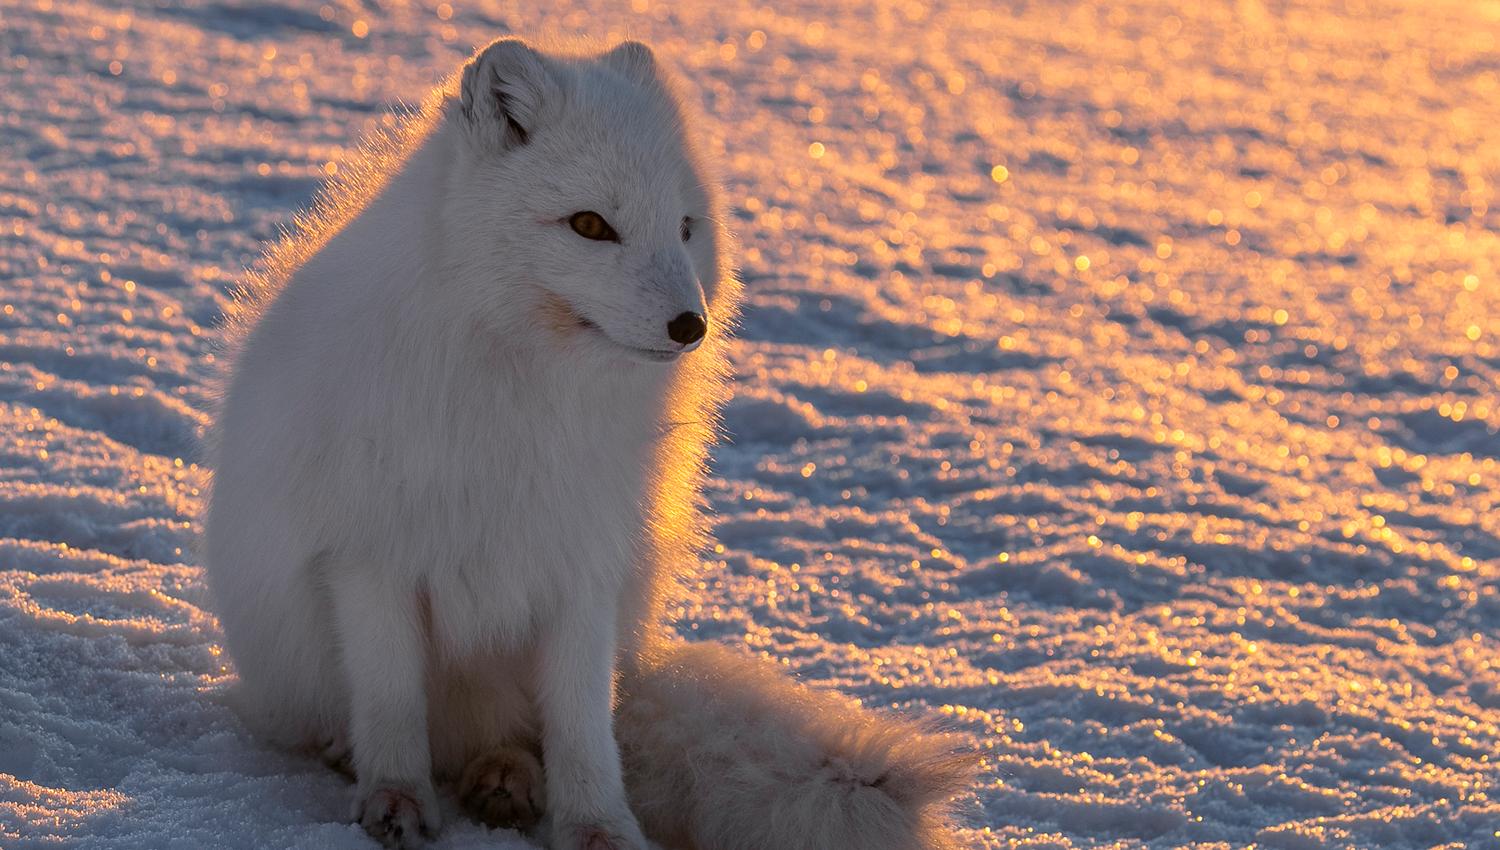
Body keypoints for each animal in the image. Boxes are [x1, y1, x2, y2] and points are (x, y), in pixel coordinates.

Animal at [203, 36, 973, 850]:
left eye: (686, 227)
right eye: (591, 225)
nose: (690, 327)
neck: (525, 397)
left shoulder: (581, 565)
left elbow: (580, 729)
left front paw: (598, 828)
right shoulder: (370, 560)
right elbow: (390, 703)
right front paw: (395, 799)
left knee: (529, 734)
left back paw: (505, 779)